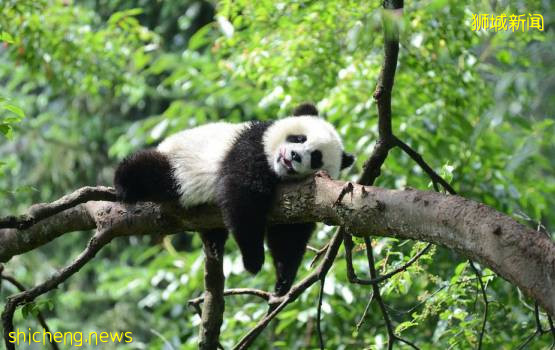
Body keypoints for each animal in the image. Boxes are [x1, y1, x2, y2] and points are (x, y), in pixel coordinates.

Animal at [114, 104, 354, 296]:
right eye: (298, 138)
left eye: (316, 157)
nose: (294, 156)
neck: (278, 173)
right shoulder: (252, 147)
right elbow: (243, 195)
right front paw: (253, 260)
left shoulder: (303, 199)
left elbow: (289, 235)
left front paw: (283, 280)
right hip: (177, 163)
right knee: (150, 170)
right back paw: (124, 182)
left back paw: (214, 241)